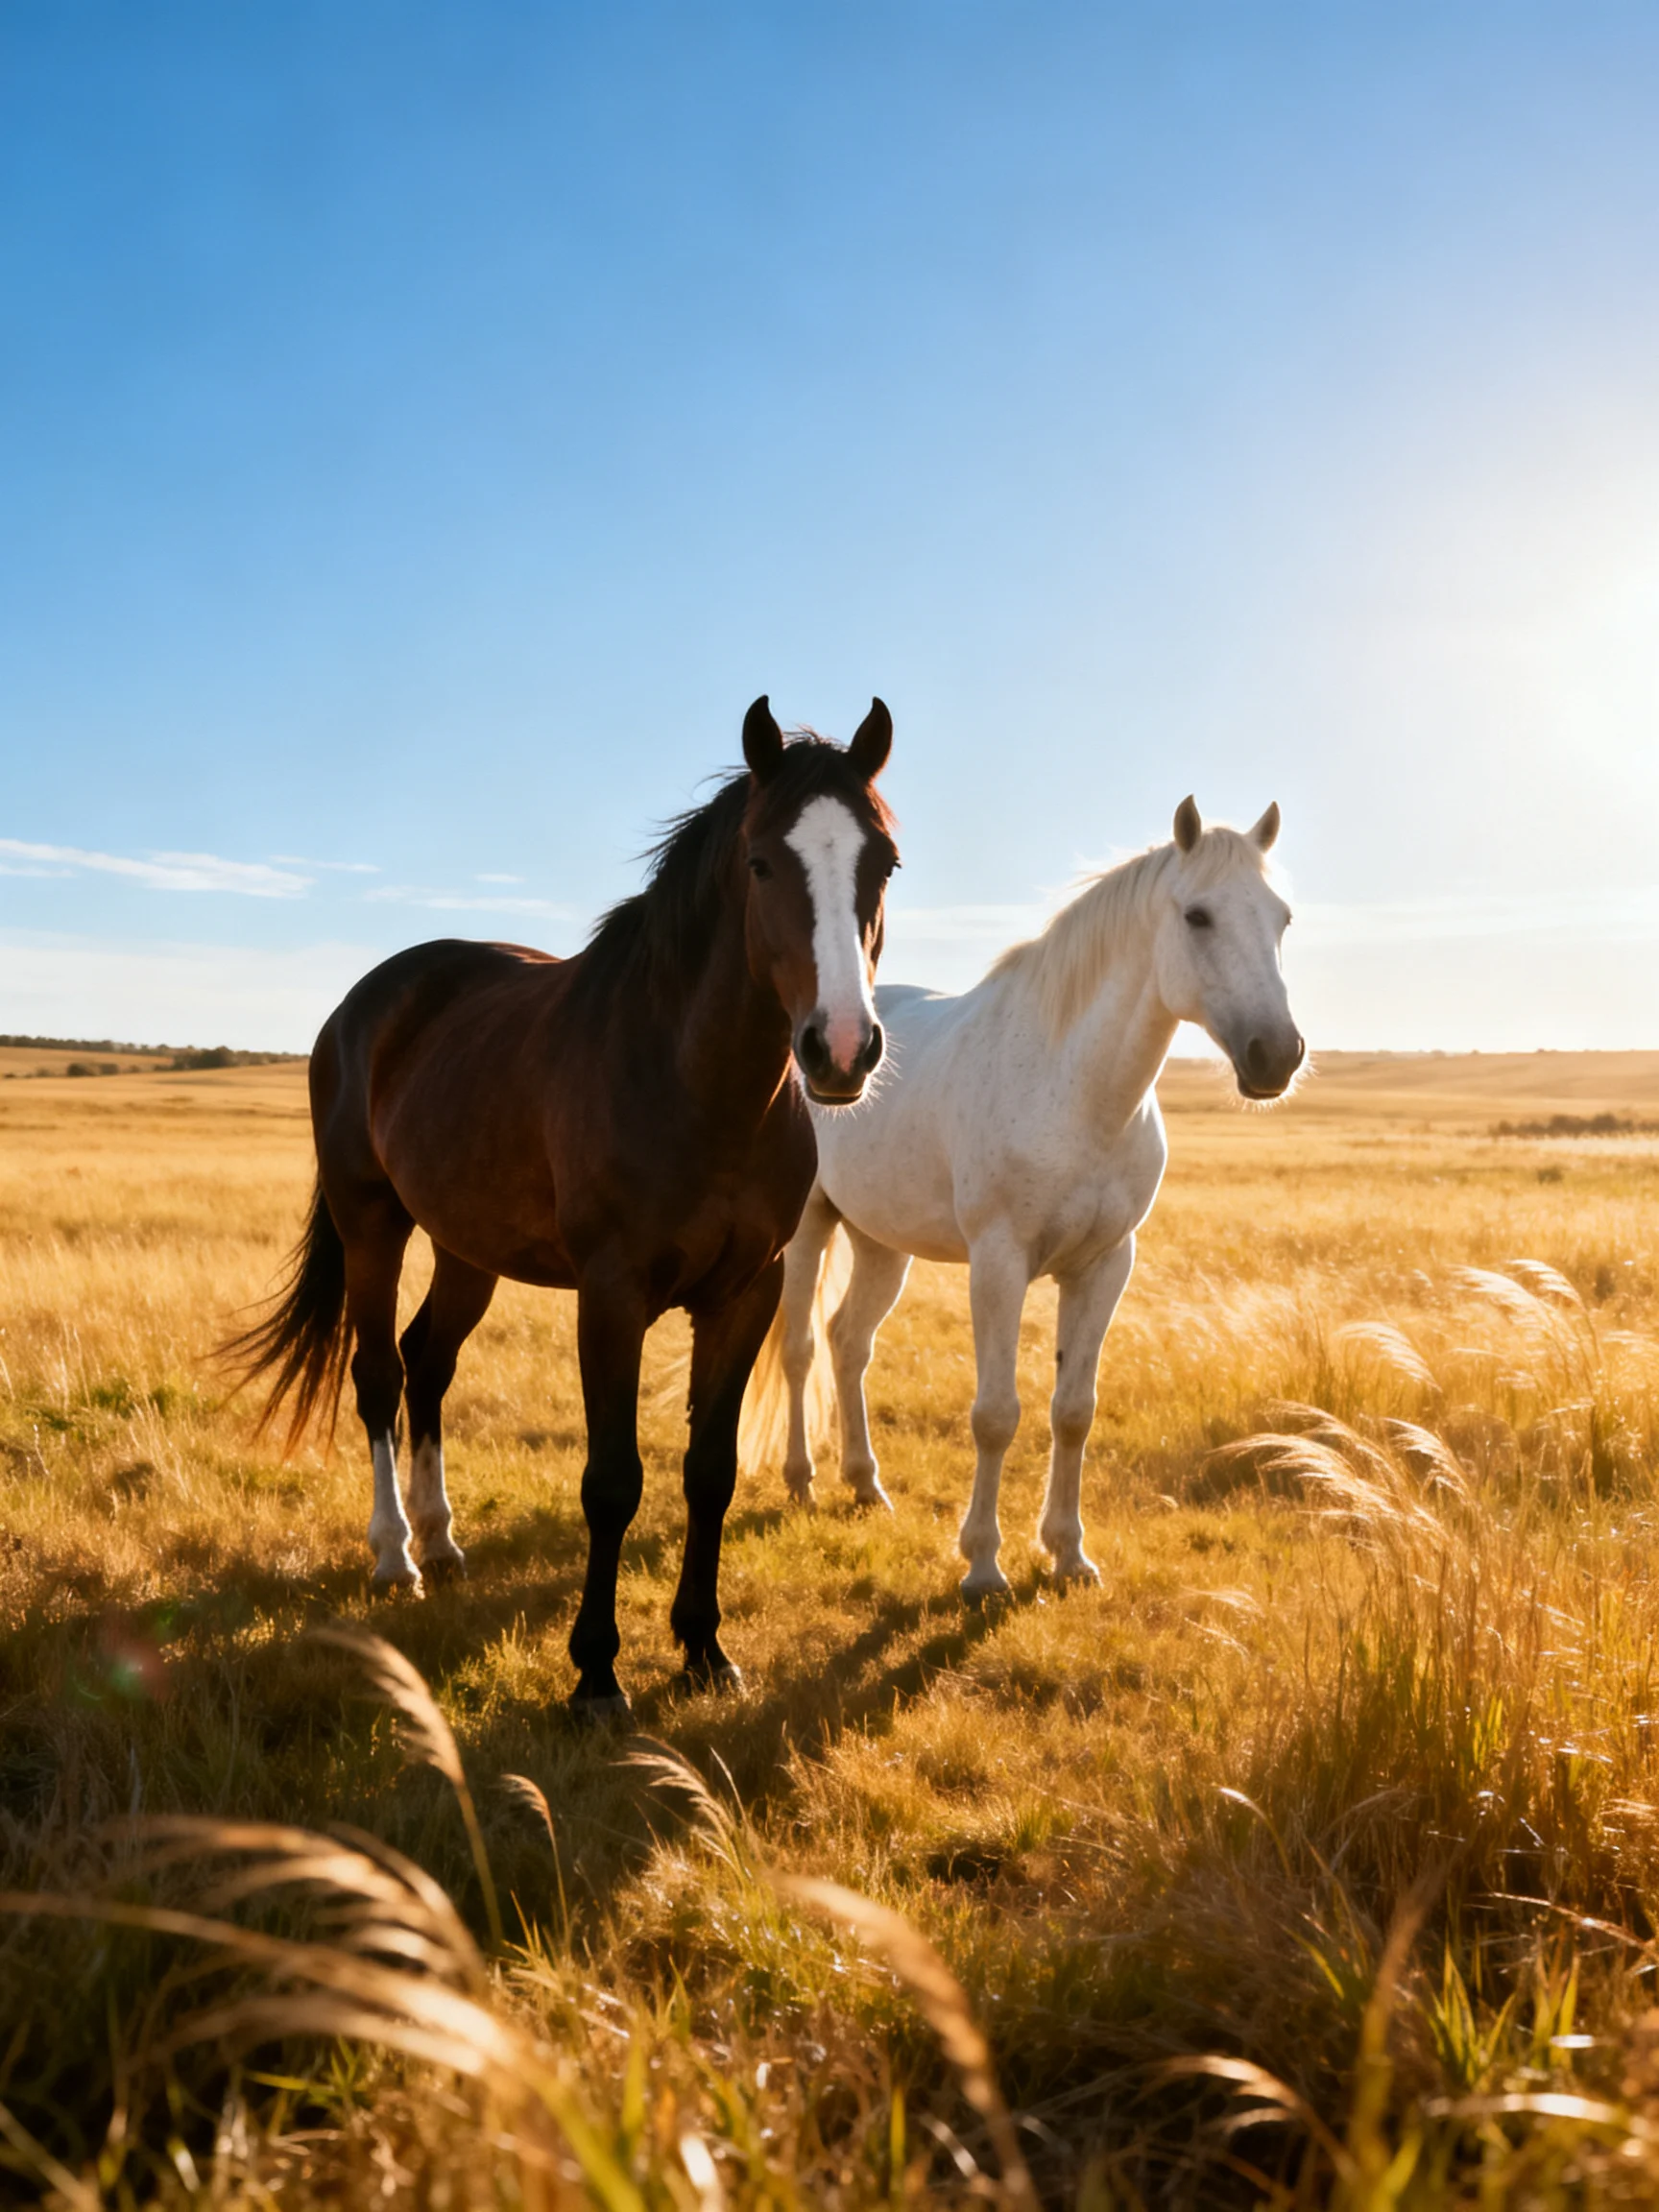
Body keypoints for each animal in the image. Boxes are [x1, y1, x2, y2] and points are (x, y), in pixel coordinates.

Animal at [231, 697, 899, 1714]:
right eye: (760, 862)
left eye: (885, 863)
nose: (842, 1047)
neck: (694, 1085)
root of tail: (366, 1001)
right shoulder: (611, 1297)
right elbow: (612, 1481)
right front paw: (595, 1675)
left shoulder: (746, 1292)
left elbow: (708, 1473)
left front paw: (705, 1650)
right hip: (371, 1224)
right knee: (379, 1374)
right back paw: (395, 1556)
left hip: (467, 1250)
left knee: (428, 1365)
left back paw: (441, 1539)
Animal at [741, 795, 1303, 1600]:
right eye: (1198, 916)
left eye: (1281, 918)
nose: (1277, 1056)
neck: (1075, 1090)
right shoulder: (999, 1264)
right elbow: (996, 1414)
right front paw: (982, 1566)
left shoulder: (1104, 1266)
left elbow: (1073, 1411)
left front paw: (1068, 1553)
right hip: (812, 1229)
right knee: (801, 1347)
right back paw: (802, 1479)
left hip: (881, 1242)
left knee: (850, 1343)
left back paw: (866, 1483)